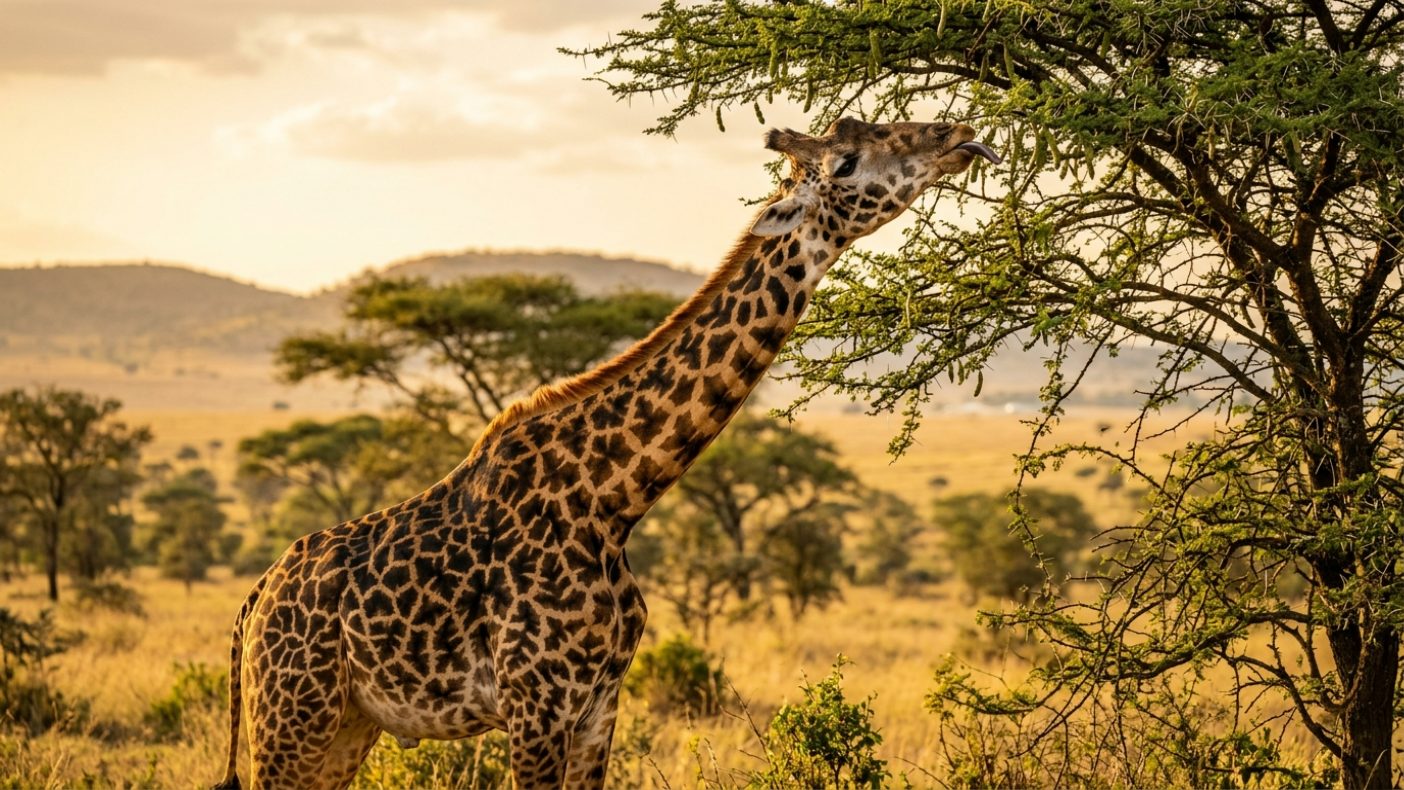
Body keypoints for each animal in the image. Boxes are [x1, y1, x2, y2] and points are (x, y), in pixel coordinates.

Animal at [213, 116, 999, 790]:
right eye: (847, 161)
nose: (960, 136)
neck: (611, 500)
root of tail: (255, 601)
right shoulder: (535, 705)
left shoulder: (599, 704)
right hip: (292, 717)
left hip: (348, 725)